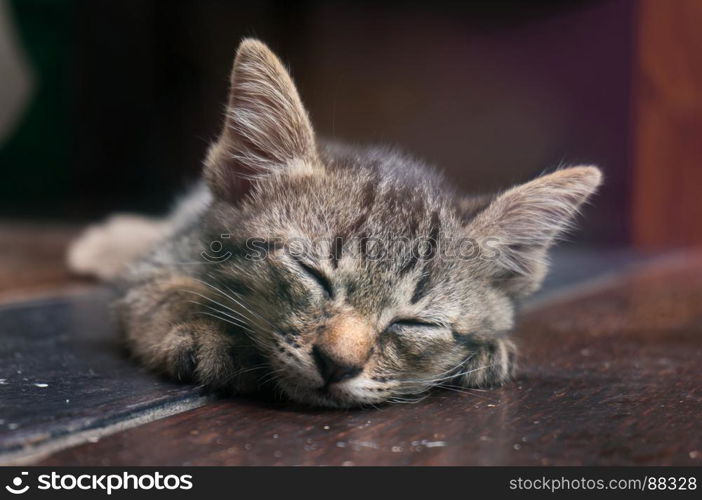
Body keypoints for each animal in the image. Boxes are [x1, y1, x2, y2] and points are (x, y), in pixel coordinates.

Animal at [67, 39, 604, 406]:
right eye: (312, 274)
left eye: (415, 322)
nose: (336, 364)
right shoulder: (167, 257)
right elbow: (158, 287)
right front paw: (206, 326)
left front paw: (489, 351)